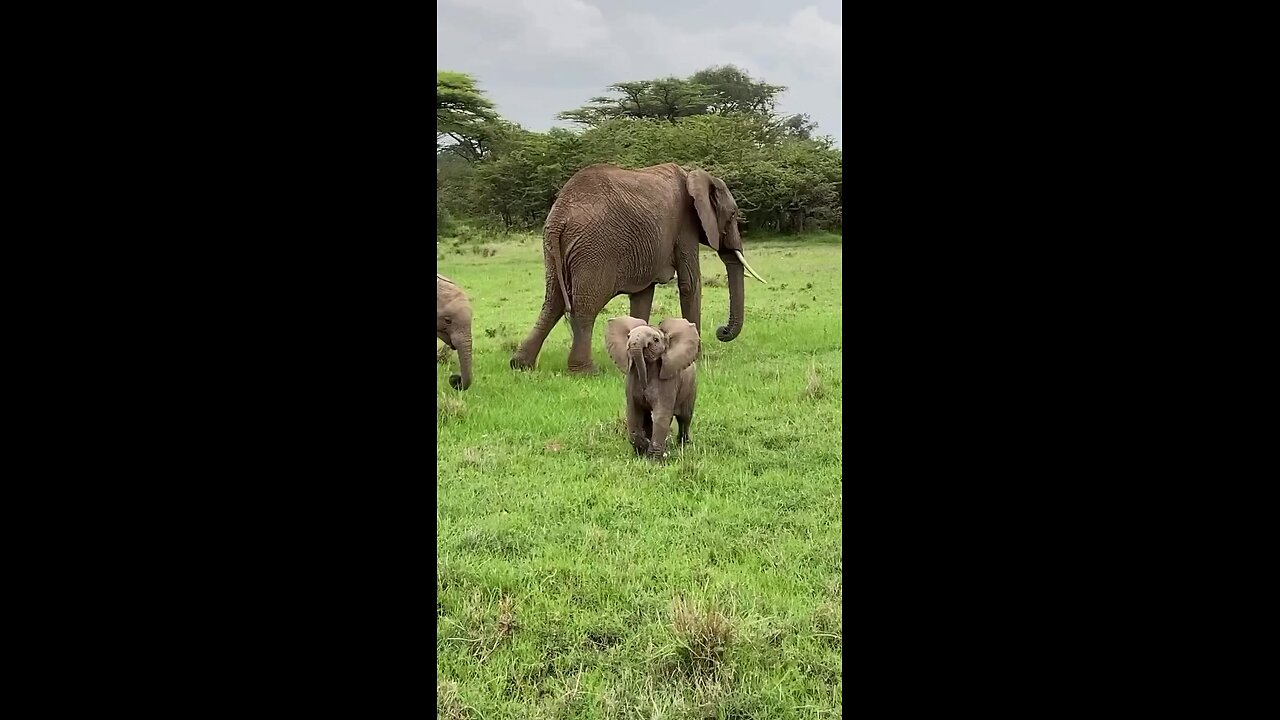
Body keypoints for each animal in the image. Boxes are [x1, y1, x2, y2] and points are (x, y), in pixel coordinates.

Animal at [506, 159, 762, 371]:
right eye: (732, 215)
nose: (722, 331)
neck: (695, 174)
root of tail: (560, 214)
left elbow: (643, 295)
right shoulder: (685, 226)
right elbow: (690, 283)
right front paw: (693, 358)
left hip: (552, 248)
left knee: (553, 302)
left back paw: (520, 365)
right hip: (595, 249)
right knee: (585, 306)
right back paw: (585, 371)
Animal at [601, 313, 701, 458]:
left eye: (656, 340)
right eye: (628, 336)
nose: (644, 389)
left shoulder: (668, 382)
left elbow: (661, 413)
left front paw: (653, 459)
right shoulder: (631, 379)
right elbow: (634, 411)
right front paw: (641, 449)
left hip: (691, 387)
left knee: (685, 417)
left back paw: (683, 445)